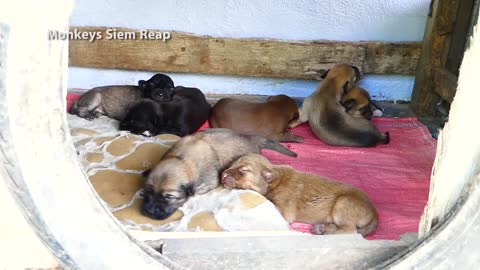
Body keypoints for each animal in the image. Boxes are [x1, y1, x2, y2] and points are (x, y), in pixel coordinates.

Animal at [142, 128, 296, 219]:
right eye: (147, 192)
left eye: (169, 197)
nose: (149, 211)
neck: (181, 159)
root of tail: (250, 138)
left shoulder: (208, 183)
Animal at [221, 154, 378, 236]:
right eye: (231, 165)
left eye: (244, 170)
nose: (223, 175)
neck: (274, 182)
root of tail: (374, 213)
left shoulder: (284, 211)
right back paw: (322, 228)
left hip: (342, 203)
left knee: (351, 231)